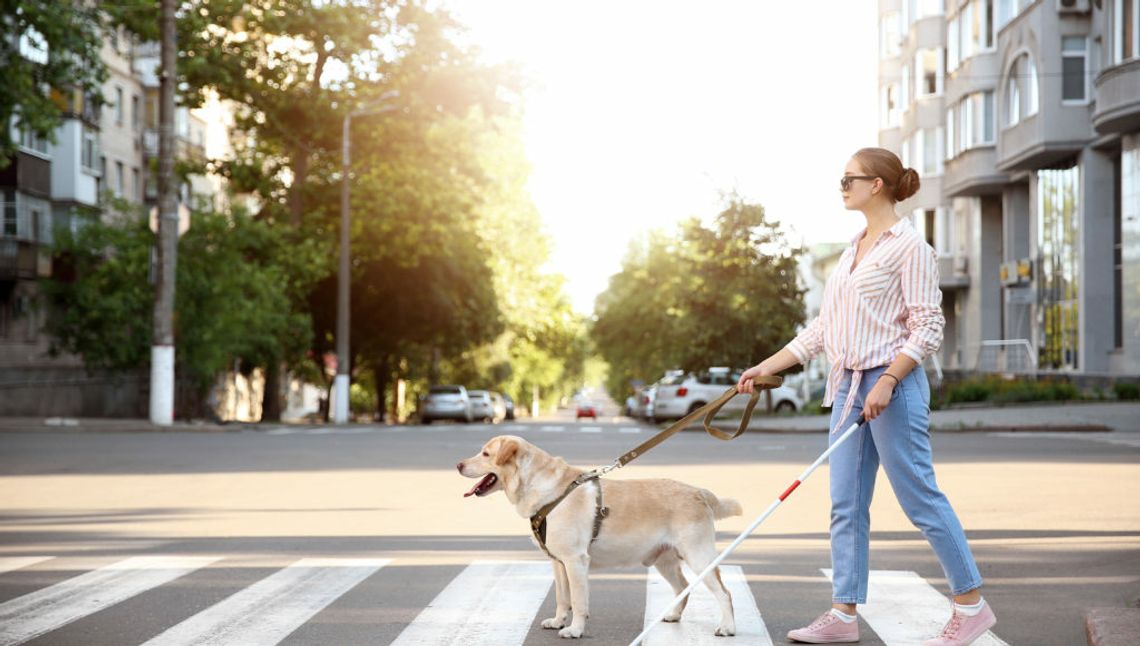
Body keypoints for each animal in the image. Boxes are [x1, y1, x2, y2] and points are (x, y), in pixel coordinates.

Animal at [458, 437, 743, 638]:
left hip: (699, 557)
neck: (543, 488)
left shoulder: (575, 561)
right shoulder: (558, 563)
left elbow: (577, 600)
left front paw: (574, 630)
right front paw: (558, 621)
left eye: (485, 454)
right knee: (682, 586)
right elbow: (562, 598)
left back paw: (727, 628)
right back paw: (673, 615)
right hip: (665, 561)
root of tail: (699, 491)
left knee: (725, 593)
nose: (458, 464)